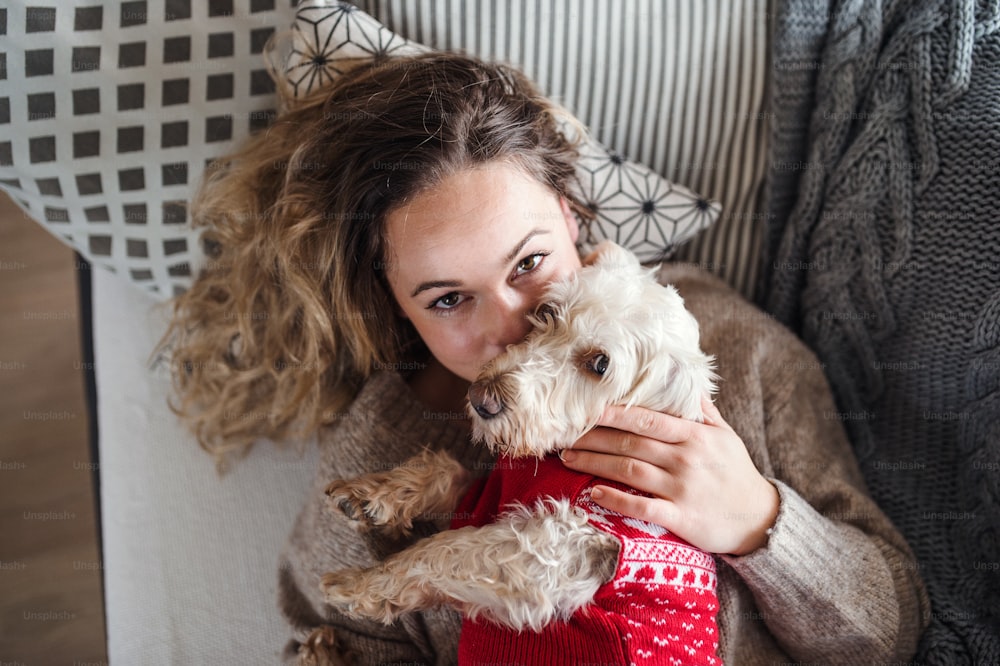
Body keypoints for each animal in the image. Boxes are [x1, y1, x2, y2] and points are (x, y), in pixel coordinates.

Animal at [324, 241, 724, 660]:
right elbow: (449, 474)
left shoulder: (554, 551)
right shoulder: (487, 497)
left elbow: (443, 551)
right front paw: (372, 497)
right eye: (548, 311)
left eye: (600, 364)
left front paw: (362, 583)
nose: (480, 398)